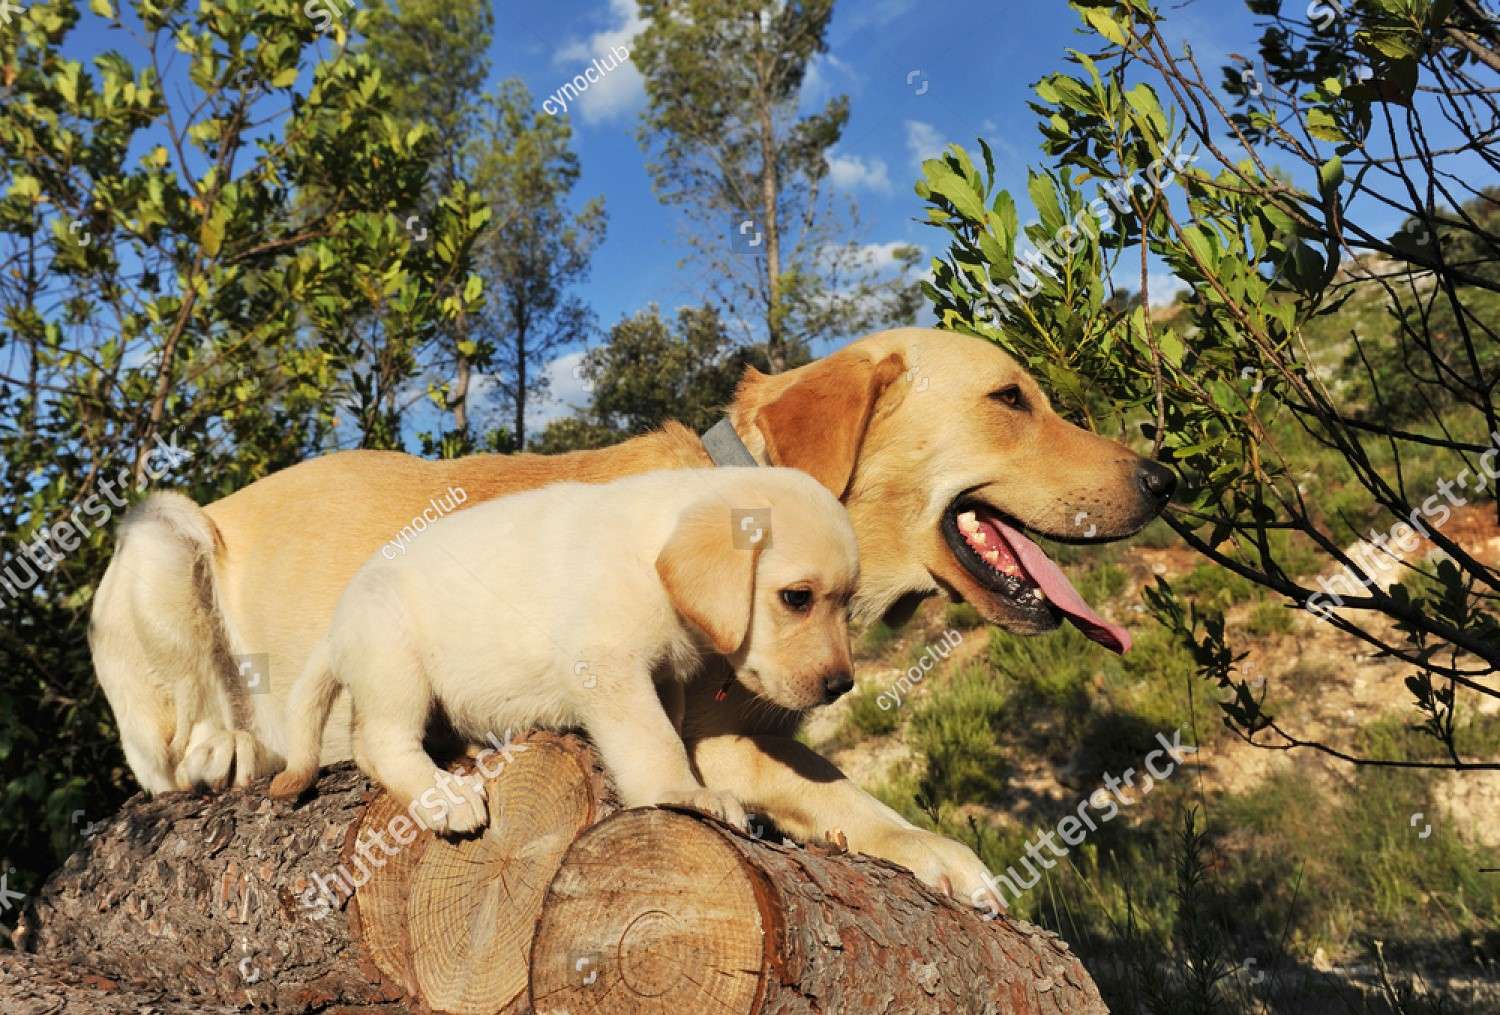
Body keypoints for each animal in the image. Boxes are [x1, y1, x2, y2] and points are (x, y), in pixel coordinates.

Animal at [268, 467, 858, 833]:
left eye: (848, 602)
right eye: (797, 598)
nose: (842, 686)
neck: (647, 557)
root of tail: (336, 626)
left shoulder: (663, 678)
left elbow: (667, 730)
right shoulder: (609, 669)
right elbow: (655, 743)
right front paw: (682, 792)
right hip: (396, 661)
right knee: (380, 742)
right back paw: (444, 796)